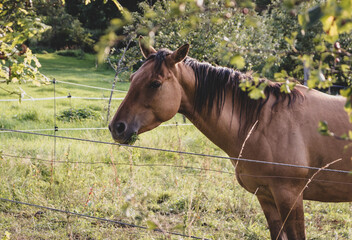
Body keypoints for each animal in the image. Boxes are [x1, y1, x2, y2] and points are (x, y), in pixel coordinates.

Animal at [109, 37, 352, 238]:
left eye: (155, 83)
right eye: (133, 78)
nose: (116, 127)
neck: (264, 122)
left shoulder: (289, 197)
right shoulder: (267, 197)